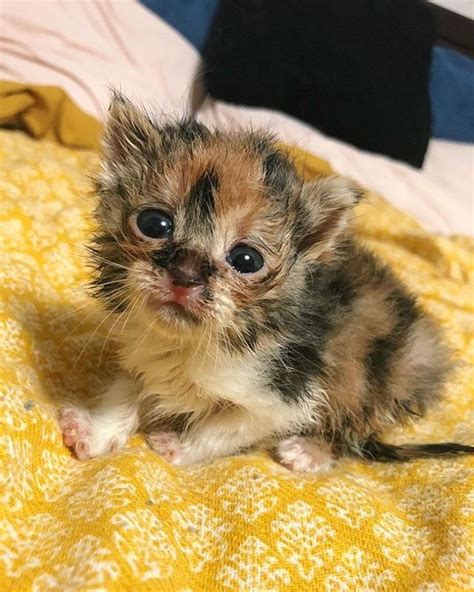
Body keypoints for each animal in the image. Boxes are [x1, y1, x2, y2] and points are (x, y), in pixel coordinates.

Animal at [60, 92, 474, 472]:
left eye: (246, 260)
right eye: (154, 224)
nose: (185, 276)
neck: (191, 343)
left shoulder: (280, 397)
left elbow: (225, 427)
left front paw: (179, 447)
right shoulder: (145, 349)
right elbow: (127, 388)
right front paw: (95, 433)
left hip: (377, 372)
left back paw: (311, 451)